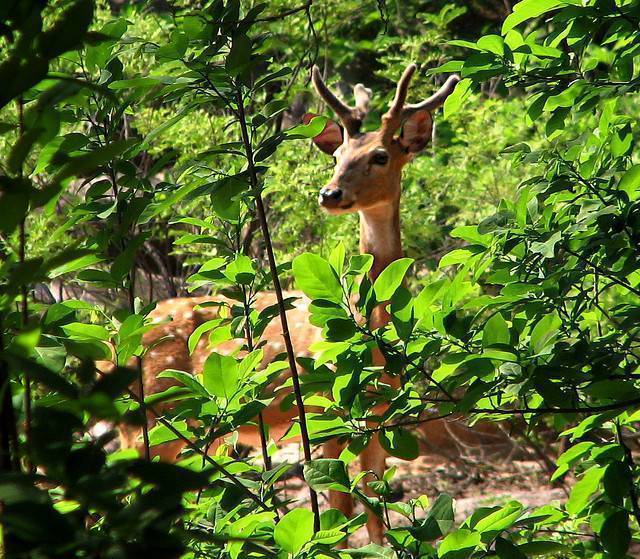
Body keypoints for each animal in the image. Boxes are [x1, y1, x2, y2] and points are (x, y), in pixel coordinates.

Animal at [108, 63, 460, 545]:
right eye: (337, 156)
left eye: (380, 156)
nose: (330, 193)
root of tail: (115, 344)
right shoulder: (326, 412)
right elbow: (339, 514)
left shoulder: (380, 419)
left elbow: (376, 515)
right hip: (151, 417)